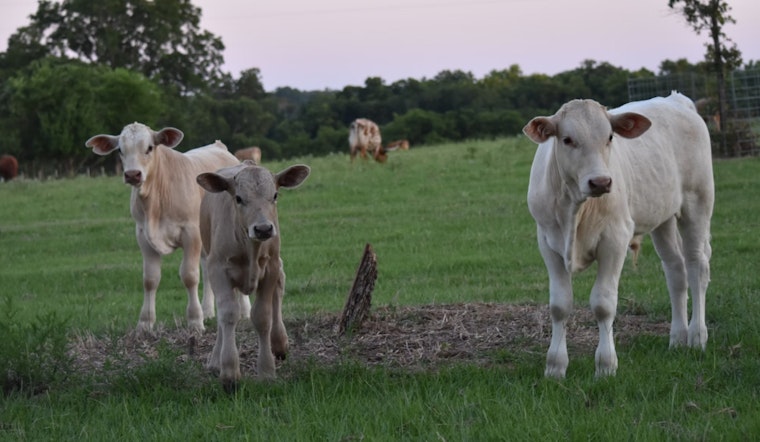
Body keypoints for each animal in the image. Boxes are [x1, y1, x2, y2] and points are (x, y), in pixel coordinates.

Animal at [85, 122, 247, 334]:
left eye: (149, 147)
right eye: (120, 149)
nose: (132, 174)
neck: (155, 200)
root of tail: (220, 148)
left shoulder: (191, 232)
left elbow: (189, 276)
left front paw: (195, 321)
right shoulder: (143, 235)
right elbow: (150, 279)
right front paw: (145, 323)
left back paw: (245, 311)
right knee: (208, 267)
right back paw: (208, 310)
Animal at [196, 161, 310, 389]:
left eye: (275, 195)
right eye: (239, 198)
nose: (263, 228)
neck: (250, 247)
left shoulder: (270, 267)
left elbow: (262, 316)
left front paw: (266, 371)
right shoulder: (217, 269)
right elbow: (228, 314)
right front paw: (229, 371)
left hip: (276, 263)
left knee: (279, 289)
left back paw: (279, 341)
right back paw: (215, 360)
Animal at [523, 92, 713, 378]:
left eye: (610, 137)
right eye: (567, 139)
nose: (601, 182)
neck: (575, 208)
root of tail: (676, 99)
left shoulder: (615, 239)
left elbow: (603, 303)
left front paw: (605, 366)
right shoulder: (548, 243)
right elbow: (559, 305)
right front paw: (555, 366)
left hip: (697, 203)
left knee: (696, 266)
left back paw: (697, 337)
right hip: (663, 217)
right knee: (675, 271)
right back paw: (677, 339)